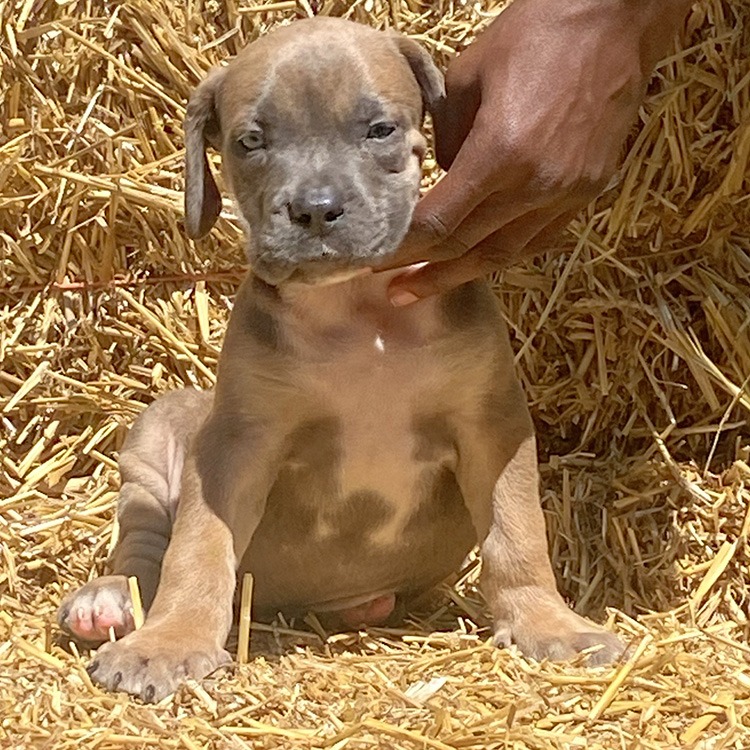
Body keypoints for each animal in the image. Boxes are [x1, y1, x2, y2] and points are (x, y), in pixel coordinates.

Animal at [58, 16, 624, 704]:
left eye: (379, 130)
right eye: (251, 142)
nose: (316, 209)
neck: (357, 312)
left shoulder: (491, 423)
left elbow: (517, 534)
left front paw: (551, 624)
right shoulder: (235, 441)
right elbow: (198, 548)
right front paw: (170, 642)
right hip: (155, 437)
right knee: (146, 550)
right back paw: (109, 603)